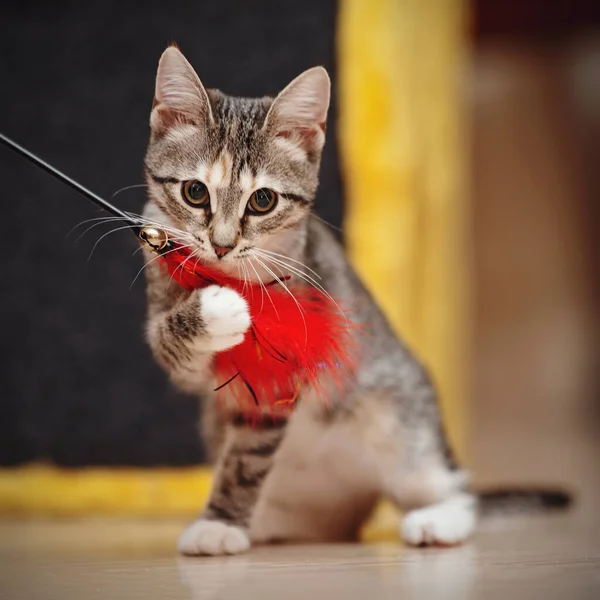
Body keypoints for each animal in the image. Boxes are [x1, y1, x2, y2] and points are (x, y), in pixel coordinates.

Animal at [142, 47, 572, 556]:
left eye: (263, 201)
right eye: (195, 191)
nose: (223, 245)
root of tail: (356, 500)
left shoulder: (285, 365)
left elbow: (245, 458)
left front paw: (220, 523)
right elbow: (169, 342)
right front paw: (214, 309)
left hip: (399, 418)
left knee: (456, 489)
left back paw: (438, 520)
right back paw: (266, 522)